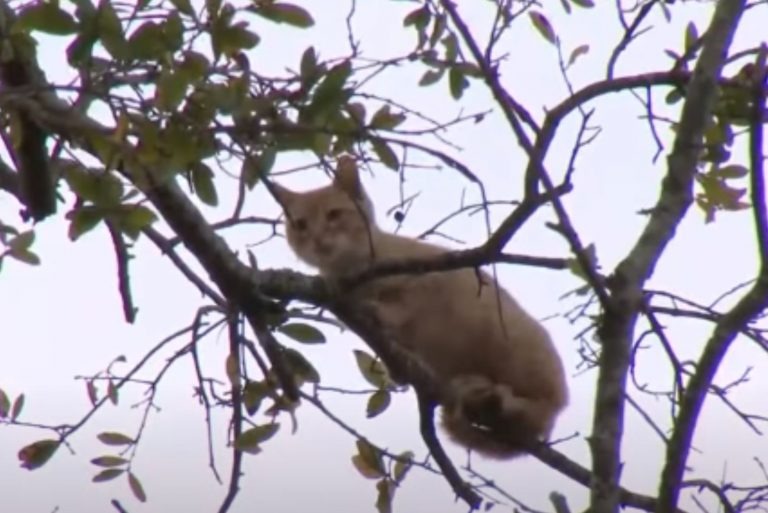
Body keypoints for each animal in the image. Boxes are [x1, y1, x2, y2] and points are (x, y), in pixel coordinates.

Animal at [272, 156, 568, 456]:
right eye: (300, 225)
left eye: (333, 215)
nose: (318, 239)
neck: (352, 270)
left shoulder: (433, 278)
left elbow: (405, 306)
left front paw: (380, 310)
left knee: (540, 413)